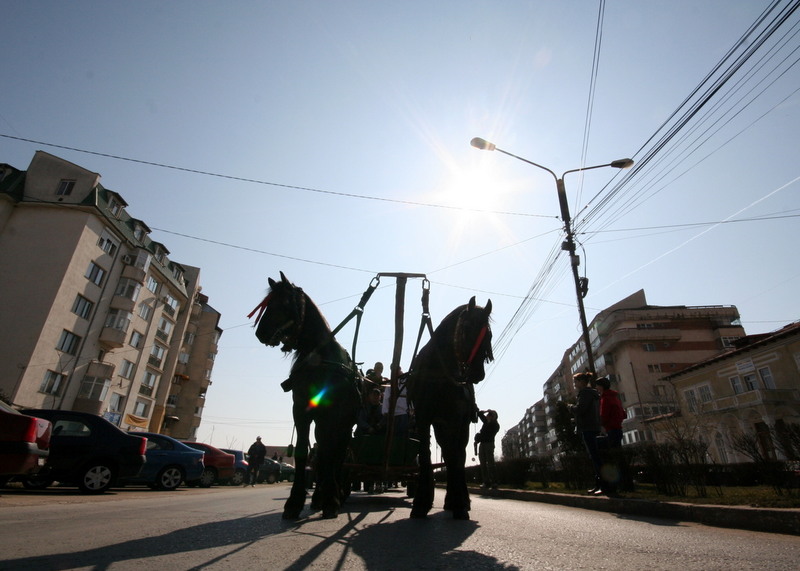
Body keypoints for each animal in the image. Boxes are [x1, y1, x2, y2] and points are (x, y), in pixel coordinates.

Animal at [250, 272, 361, 519]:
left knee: (337, 454)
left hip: (343, 425)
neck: (319, 360)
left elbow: (330, 453)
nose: (260, 333)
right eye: (267, 304)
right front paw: (295, 502)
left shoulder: (333, 414)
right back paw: (320, 495)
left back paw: (335, 493)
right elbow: (304, 452)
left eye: (284, 302)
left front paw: (331, 500)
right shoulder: (301, 410)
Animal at [407, 296, 493, 520]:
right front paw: (421, 502)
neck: (437, 372)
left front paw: (460, 505)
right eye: (467, 327)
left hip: (460, 426)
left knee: (458, 455)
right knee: (447, 451)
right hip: (440, 426)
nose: (477, 374)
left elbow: (455, 458)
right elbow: (425, 455)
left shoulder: (455, 419)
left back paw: (459, 498)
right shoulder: (423, 419)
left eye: (488, 334)